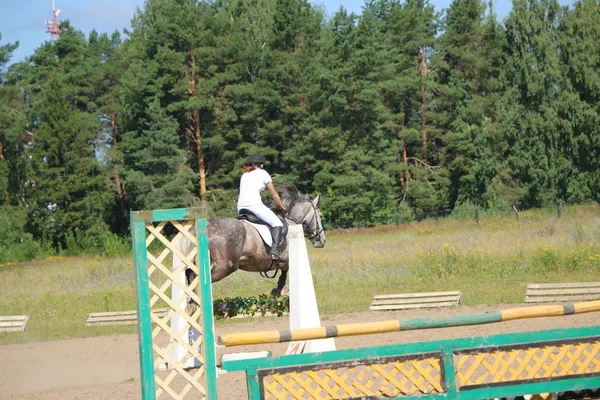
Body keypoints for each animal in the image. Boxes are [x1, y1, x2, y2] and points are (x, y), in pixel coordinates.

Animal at [185, 183, 326, 296]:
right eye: (320, 216)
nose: (322, 240)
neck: (291, 223)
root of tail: (208, 226)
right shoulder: (286, 260)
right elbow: (284, 273)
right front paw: (278, 290)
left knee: (190, 274)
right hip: (225, 266)